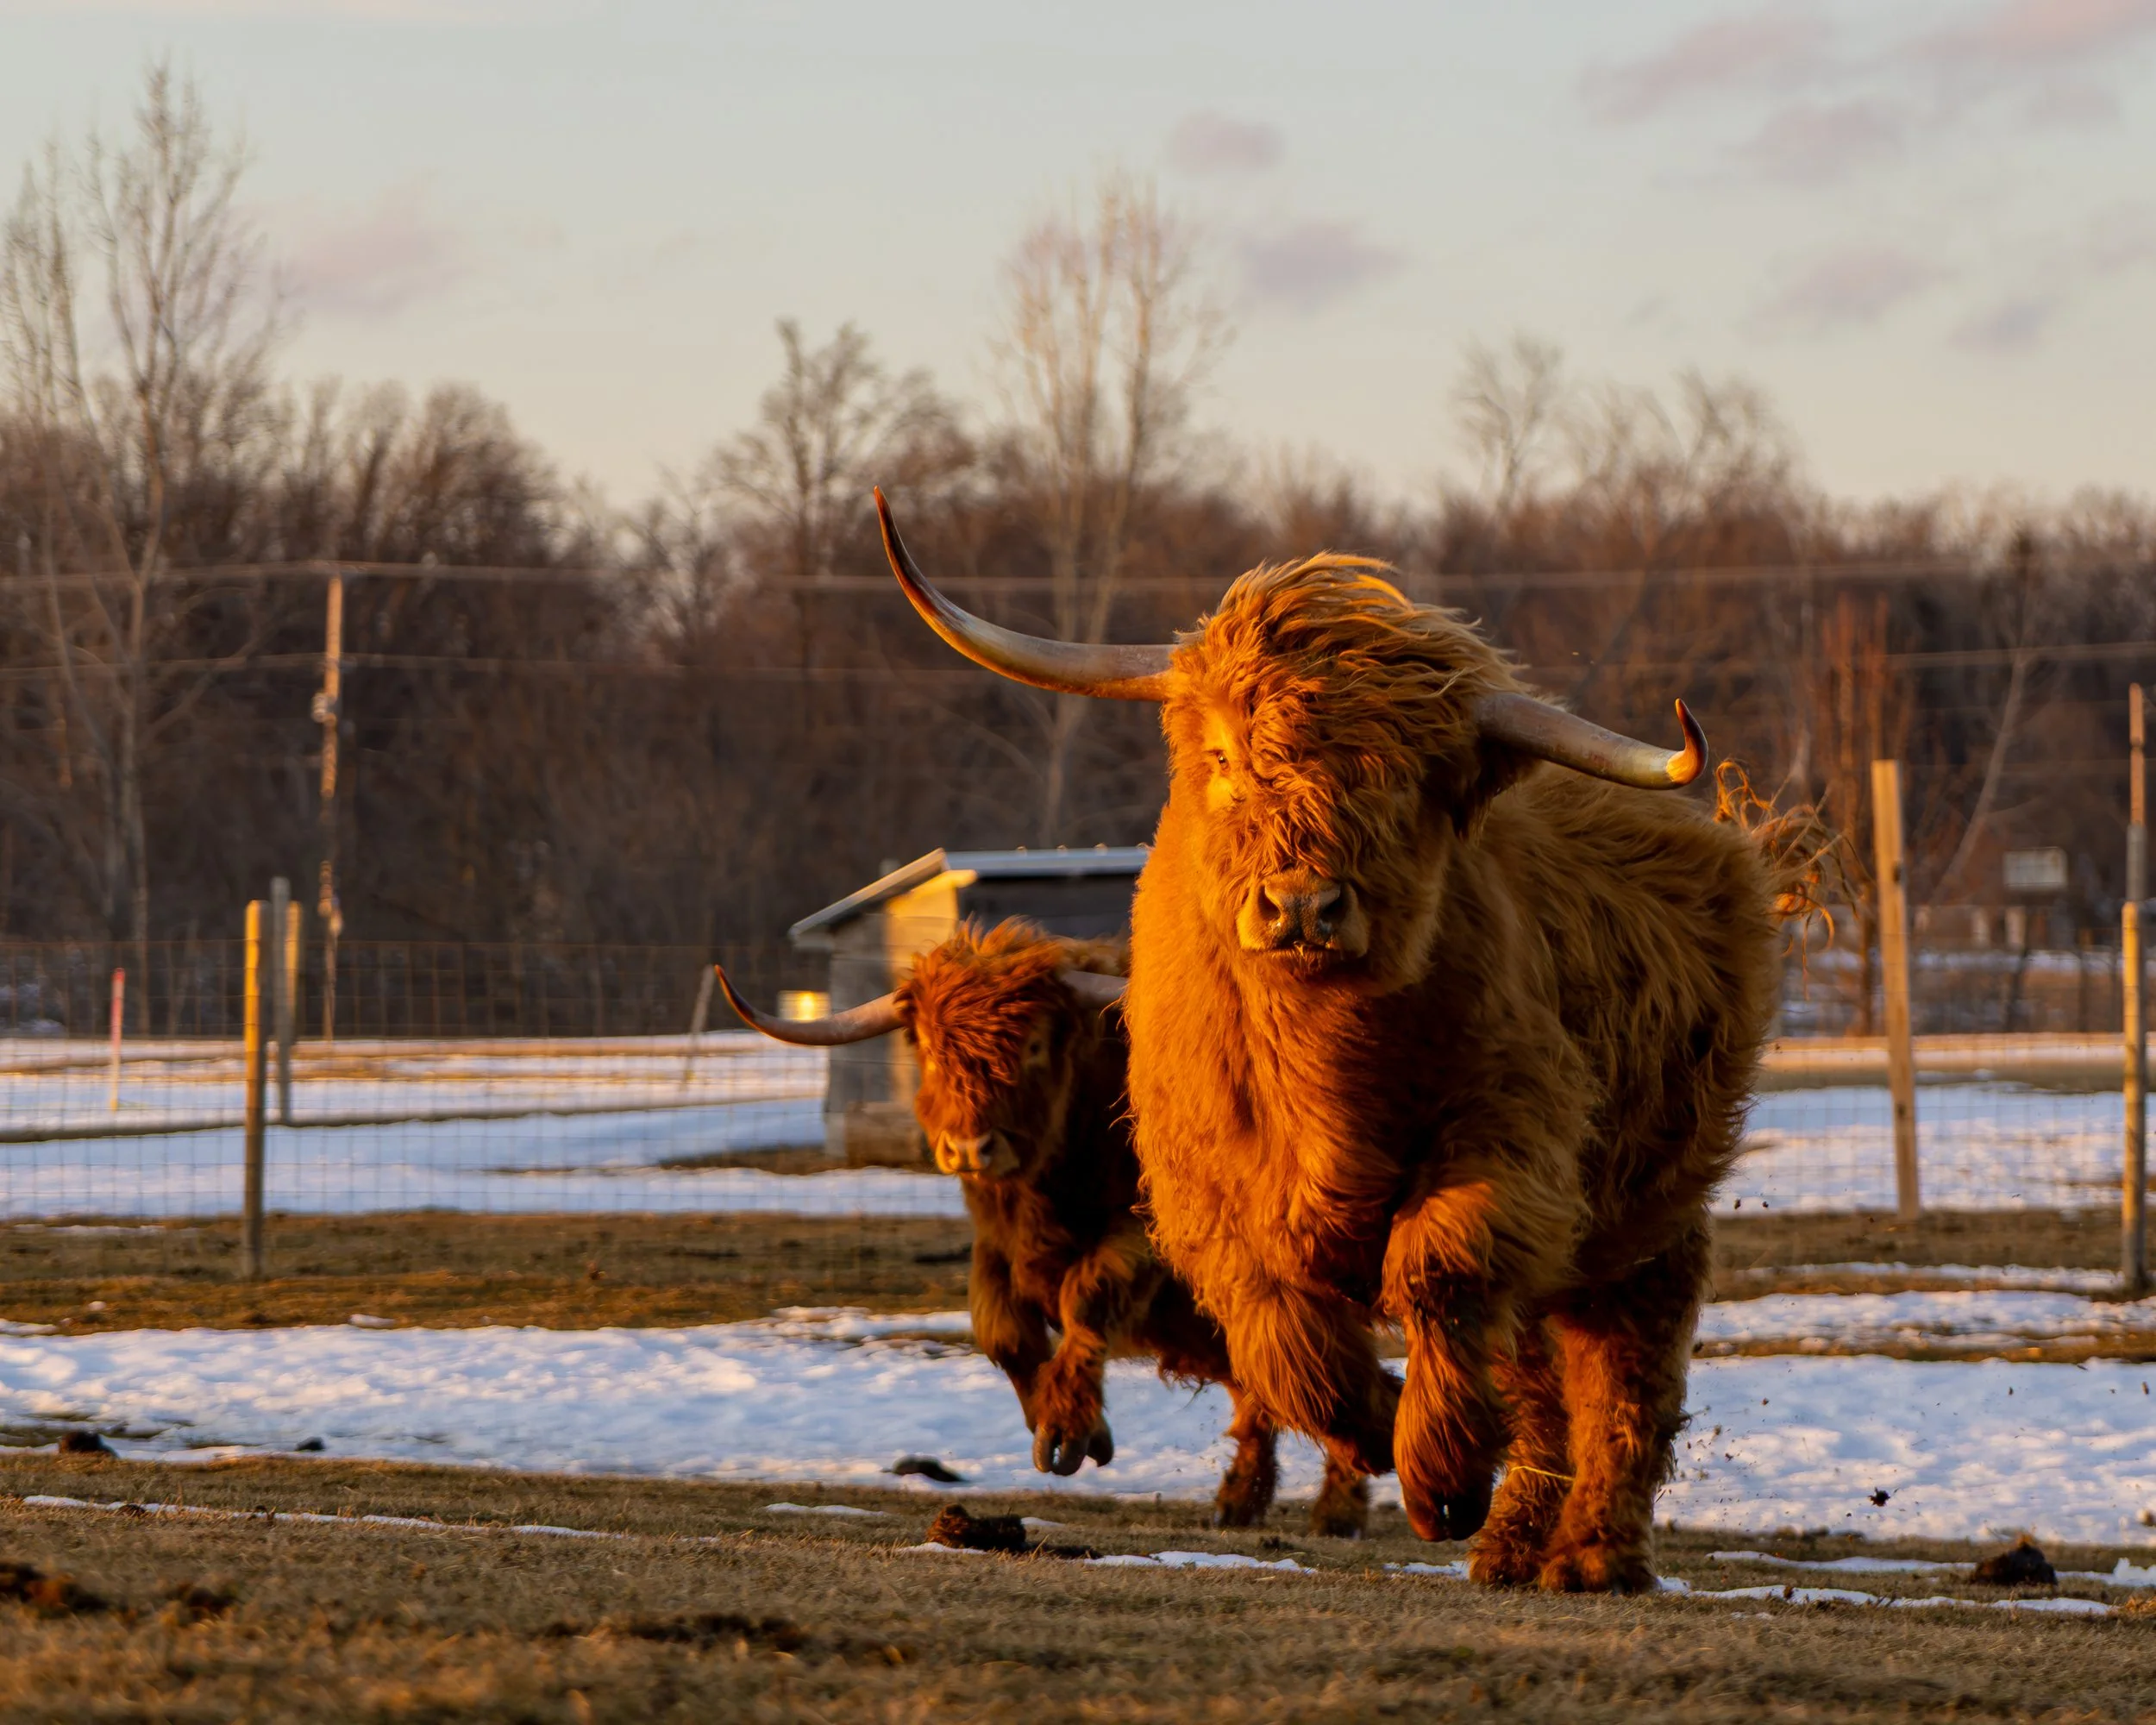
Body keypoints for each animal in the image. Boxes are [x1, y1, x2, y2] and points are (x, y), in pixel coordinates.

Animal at [717, 920, 1371, 1536]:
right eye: (928, 1046)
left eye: (1031, 1045)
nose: (968, 1147)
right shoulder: (997, 1245)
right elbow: (999, 1329)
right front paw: (1073, 1424)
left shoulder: (1147, 1237)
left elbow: (1086, 1294)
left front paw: (1067, 1431)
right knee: (1266, 1391)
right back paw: (1238, 1501)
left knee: (1336, 1378)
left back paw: (1339, 1509)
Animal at [875, 487, 1809, 1592]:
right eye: (1227, 758)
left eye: (1402, 780)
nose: (1301, 907)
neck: (1326, 1075)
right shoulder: (1212, 1198)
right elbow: (1286, 1341)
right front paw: (1380, 1432)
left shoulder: (1511, 1141)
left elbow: (1439, 1264)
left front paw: (1438, 1474)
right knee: (1539, 1376)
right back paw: (1507, 1542)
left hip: (1646, 1217)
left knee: (1624, 1372)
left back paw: (1588, 1553)